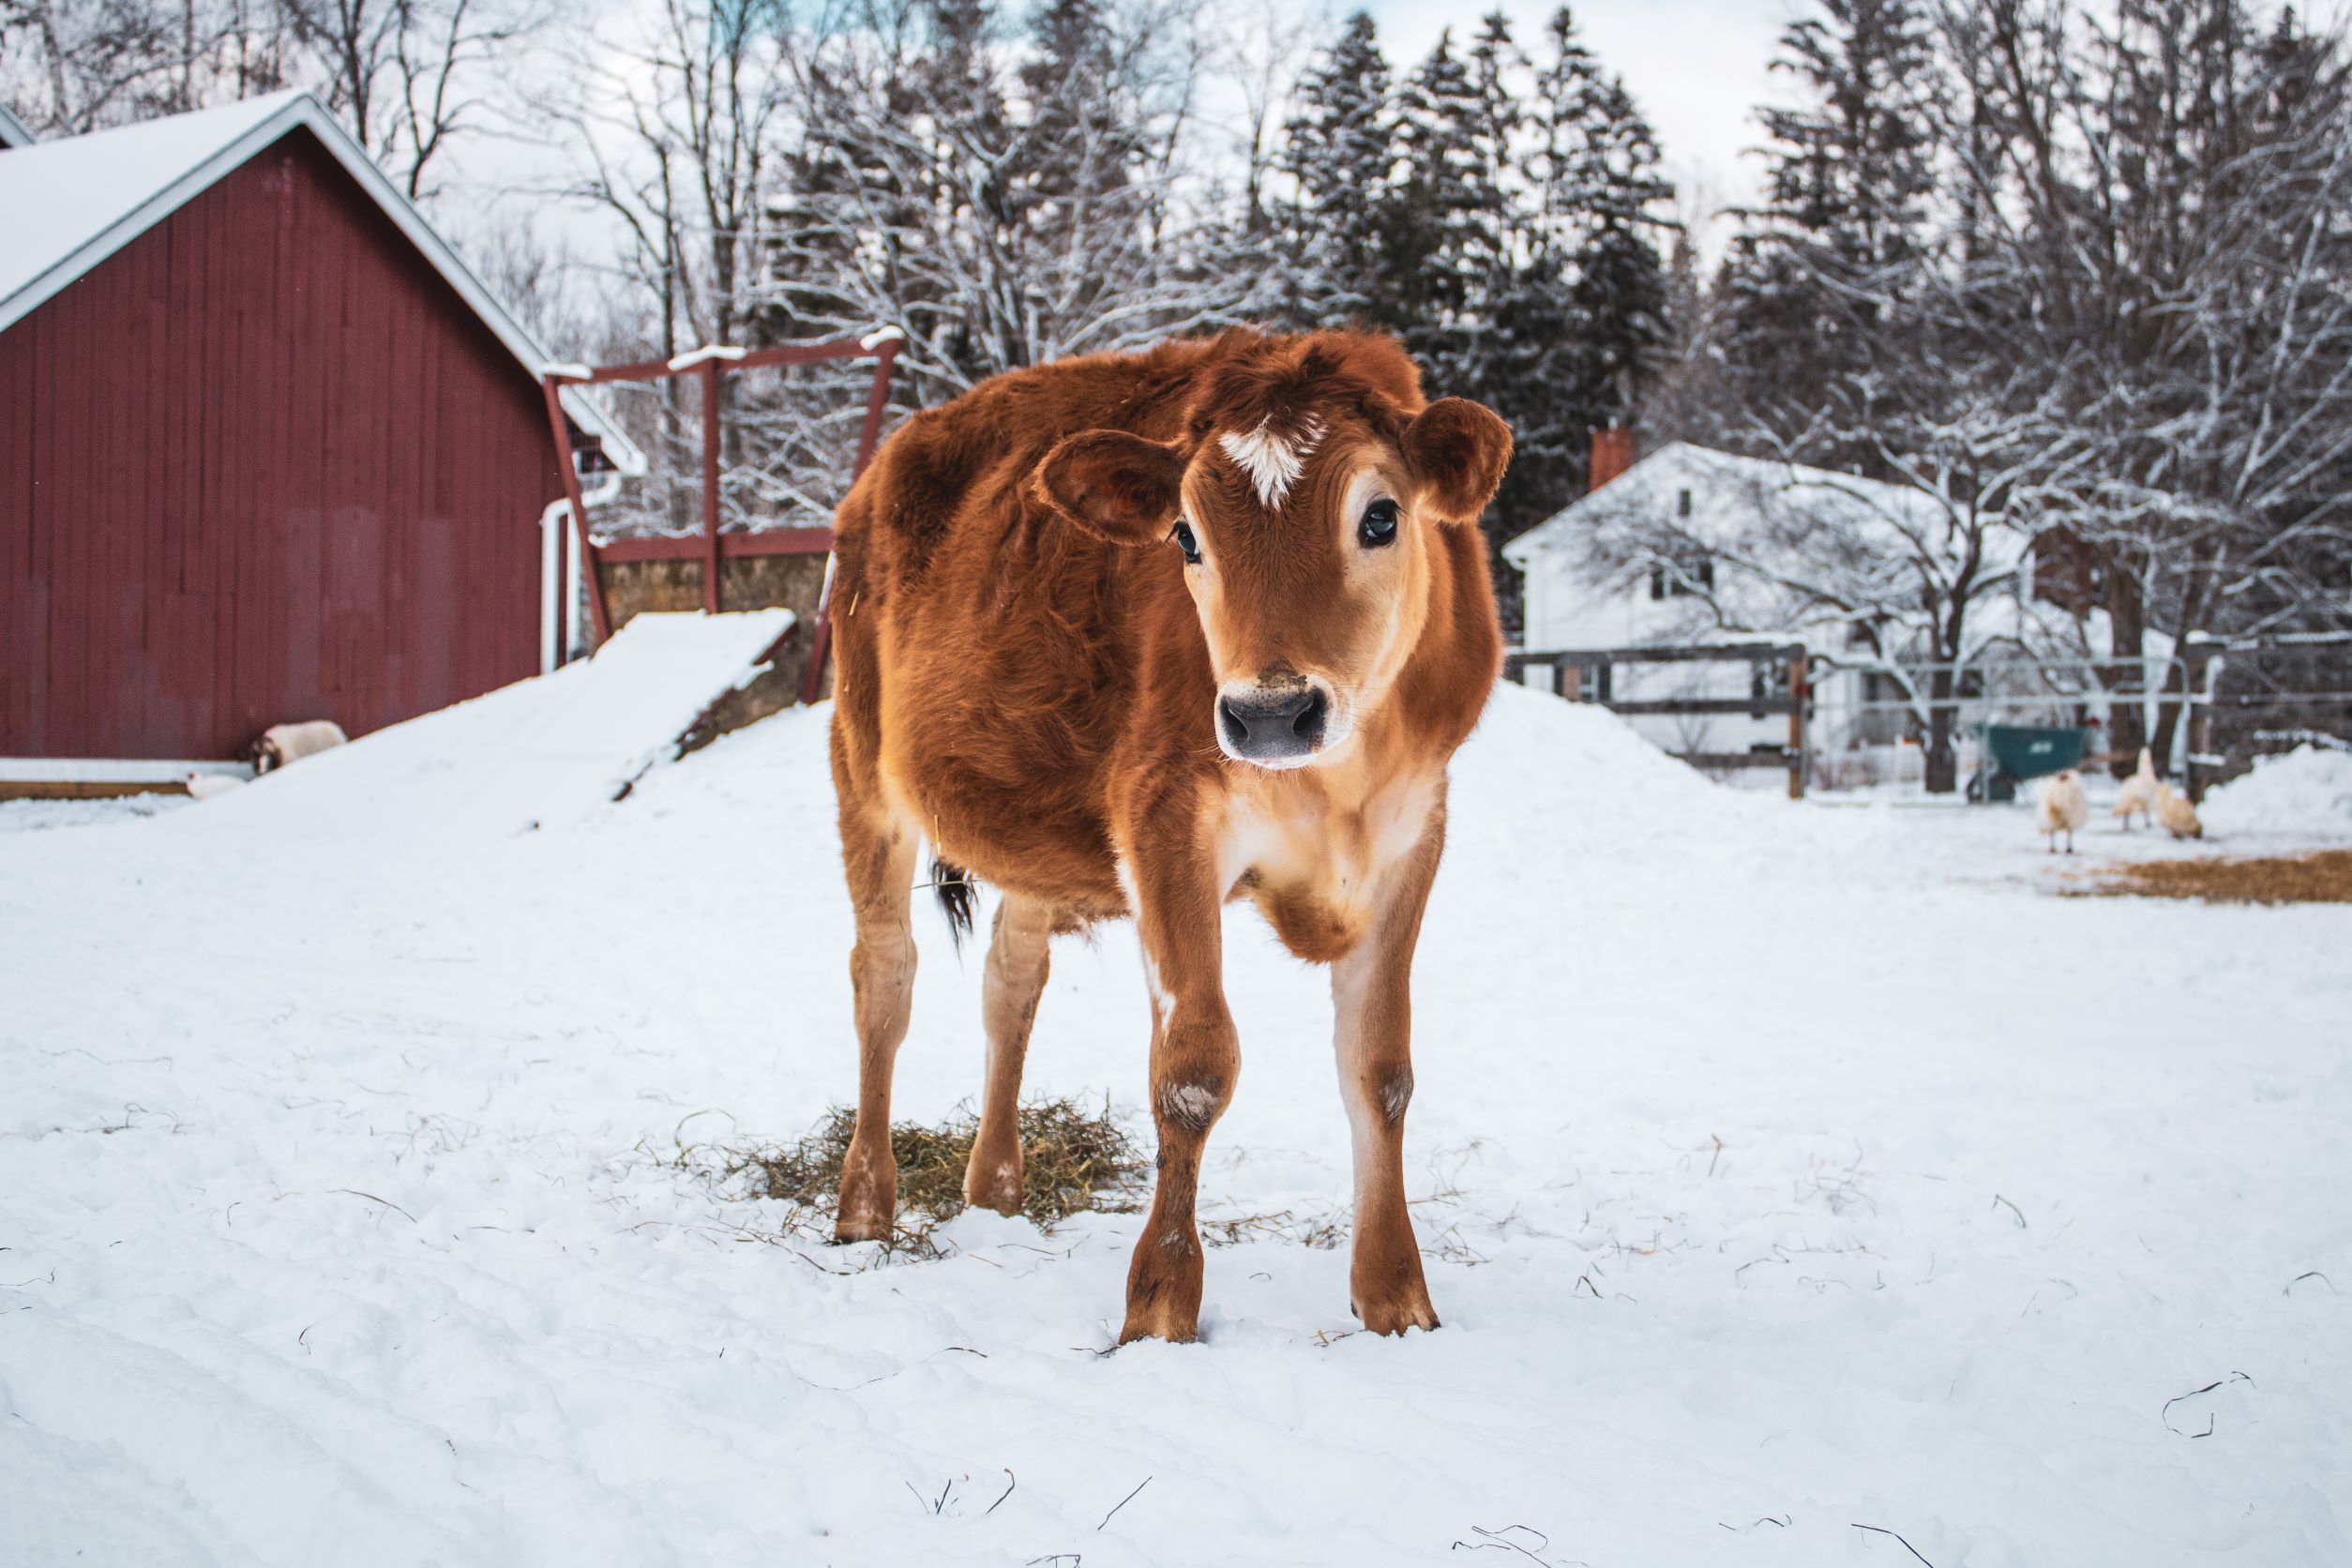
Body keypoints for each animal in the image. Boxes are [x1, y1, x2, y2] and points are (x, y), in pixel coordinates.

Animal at [826, 327, 1509, 1343]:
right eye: (1186, 537)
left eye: (1383, 518)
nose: (1270, 714)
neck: (1334, 785)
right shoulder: (1163, 818)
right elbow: (1193, 1067)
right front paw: (1159, 1304)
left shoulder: (1412, 829)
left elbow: (1379, 1071)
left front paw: (1395, 1298)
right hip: (863, 768)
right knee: (885, 976)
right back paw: (865, 1207)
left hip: (1028, 843)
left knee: (1011, 981)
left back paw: (996, 1192)